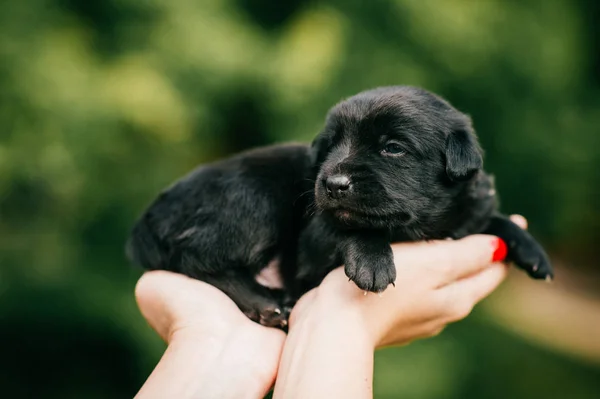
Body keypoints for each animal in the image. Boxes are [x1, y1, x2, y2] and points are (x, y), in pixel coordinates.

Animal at [126, 86, 552, 328]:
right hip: (253, 198)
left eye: (393, 147)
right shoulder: (312, 240)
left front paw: (531, 250)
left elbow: (493, 218)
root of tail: (146, 221)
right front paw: (373, 262)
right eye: (331, 145)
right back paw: (265, 303)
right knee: (196, 255)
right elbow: (352, 225)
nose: (332, 184)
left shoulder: (468, 211)